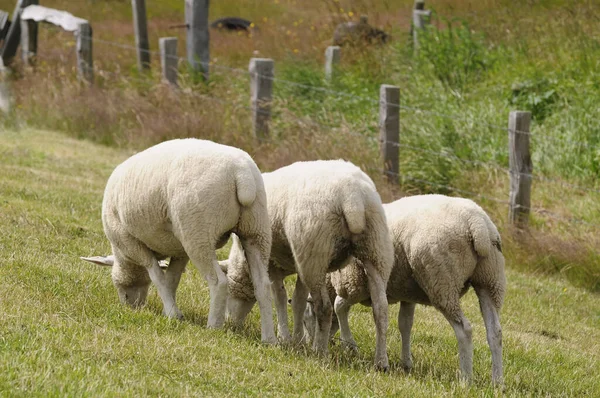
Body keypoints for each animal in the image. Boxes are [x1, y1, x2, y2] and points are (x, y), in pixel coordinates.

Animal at [79, 138, 276, 344]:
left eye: (119, 286)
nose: (131, 307)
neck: (124, 257)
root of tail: (242, 174)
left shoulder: (132, 243)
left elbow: (157, 276)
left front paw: (173, 313)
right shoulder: (179, 250)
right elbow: (171, 279)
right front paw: (170, 309)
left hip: (197, 231)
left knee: (218, 281)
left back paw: (213, 326)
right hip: (256, 230)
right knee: (262, 285)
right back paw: (269, 339)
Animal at [219, 159, 394, 370]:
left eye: (229, 291)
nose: (230, 325)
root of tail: (353, 199)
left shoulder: (273, 264)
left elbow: (280, 297)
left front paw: (285, 337)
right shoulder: (297, 264)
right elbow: (298, 300)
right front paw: (298, 339)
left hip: (314, 251)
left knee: (324, 307)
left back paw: (319, 351)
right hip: (375, 249)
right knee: (381, 309)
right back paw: (381, 361)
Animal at [304, 194, 506, 384]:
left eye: (308, 320)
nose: (307, 344)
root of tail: (477, 224)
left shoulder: (353, 284)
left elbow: (339, 307)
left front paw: (350, 345)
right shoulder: (407, 295)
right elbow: (405, 324)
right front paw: (406, 363)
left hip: (442, 281)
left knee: (464, 329)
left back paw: (466, 379)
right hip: (490, 280)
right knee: (495, 332)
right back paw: (497, 382)